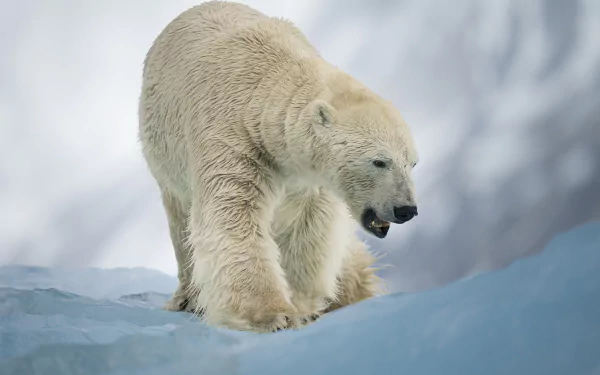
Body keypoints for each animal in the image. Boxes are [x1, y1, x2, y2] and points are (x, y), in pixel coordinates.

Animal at [137, 1, 418, 334]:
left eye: (413, 162)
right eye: (379, 161)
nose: (406, 209)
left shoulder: (306, 177)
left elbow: (310, 230)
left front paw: (302, 306)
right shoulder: (234, 139)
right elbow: (233, 215)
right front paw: (272, 315)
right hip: (167, 164)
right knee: (181, 224)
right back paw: (187, 298)